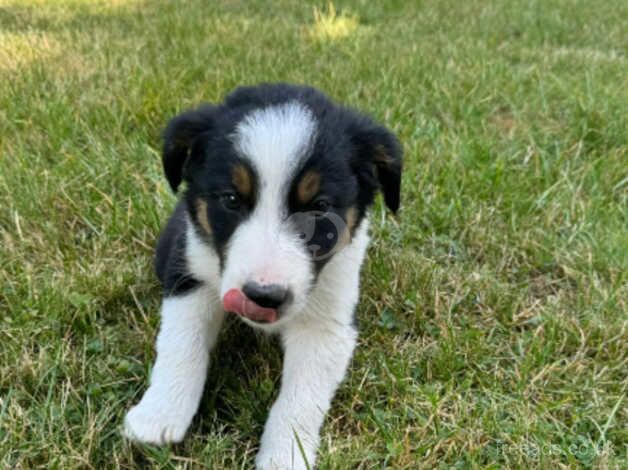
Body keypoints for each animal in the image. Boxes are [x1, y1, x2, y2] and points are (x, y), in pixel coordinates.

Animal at [122, 82, 402, 468]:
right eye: (230, 199)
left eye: (319, 207)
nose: (263, 296)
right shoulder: (190, 272)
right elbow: (181, 344)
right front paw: (160, 415)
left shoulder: (328, 320)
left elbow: (301, 396)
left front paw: (286, 454)